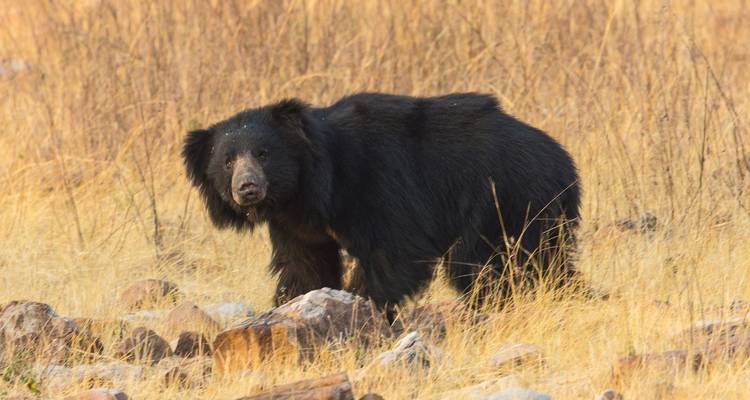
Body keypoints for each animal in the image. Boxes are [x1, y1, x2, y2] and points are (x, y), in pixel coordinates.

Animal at [182, 92, 582, 310]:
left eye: (263, 154)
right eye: (227, 161)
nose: (247, 188)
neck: (309, 188)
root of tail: (564, 162)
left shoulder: (374, 183)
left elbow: (393, 251)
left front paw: (361, 307)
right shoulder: (296, 223)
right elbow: (303, 266)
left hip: (503, 197)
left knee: (485, 265)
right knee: (548, 262)